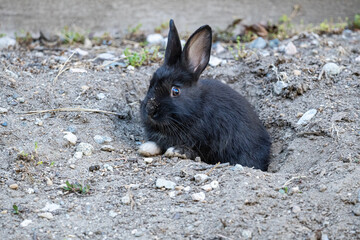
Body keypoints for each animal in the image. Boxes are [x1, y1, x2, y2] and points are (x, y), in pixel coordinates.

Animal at [139, 20, 272, 171]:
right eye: (151, 83)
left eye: (175, 91)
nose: (150, 110)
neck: (196, 108)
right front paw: (146, 147)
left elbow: (196, 153)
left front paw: (177, 151)